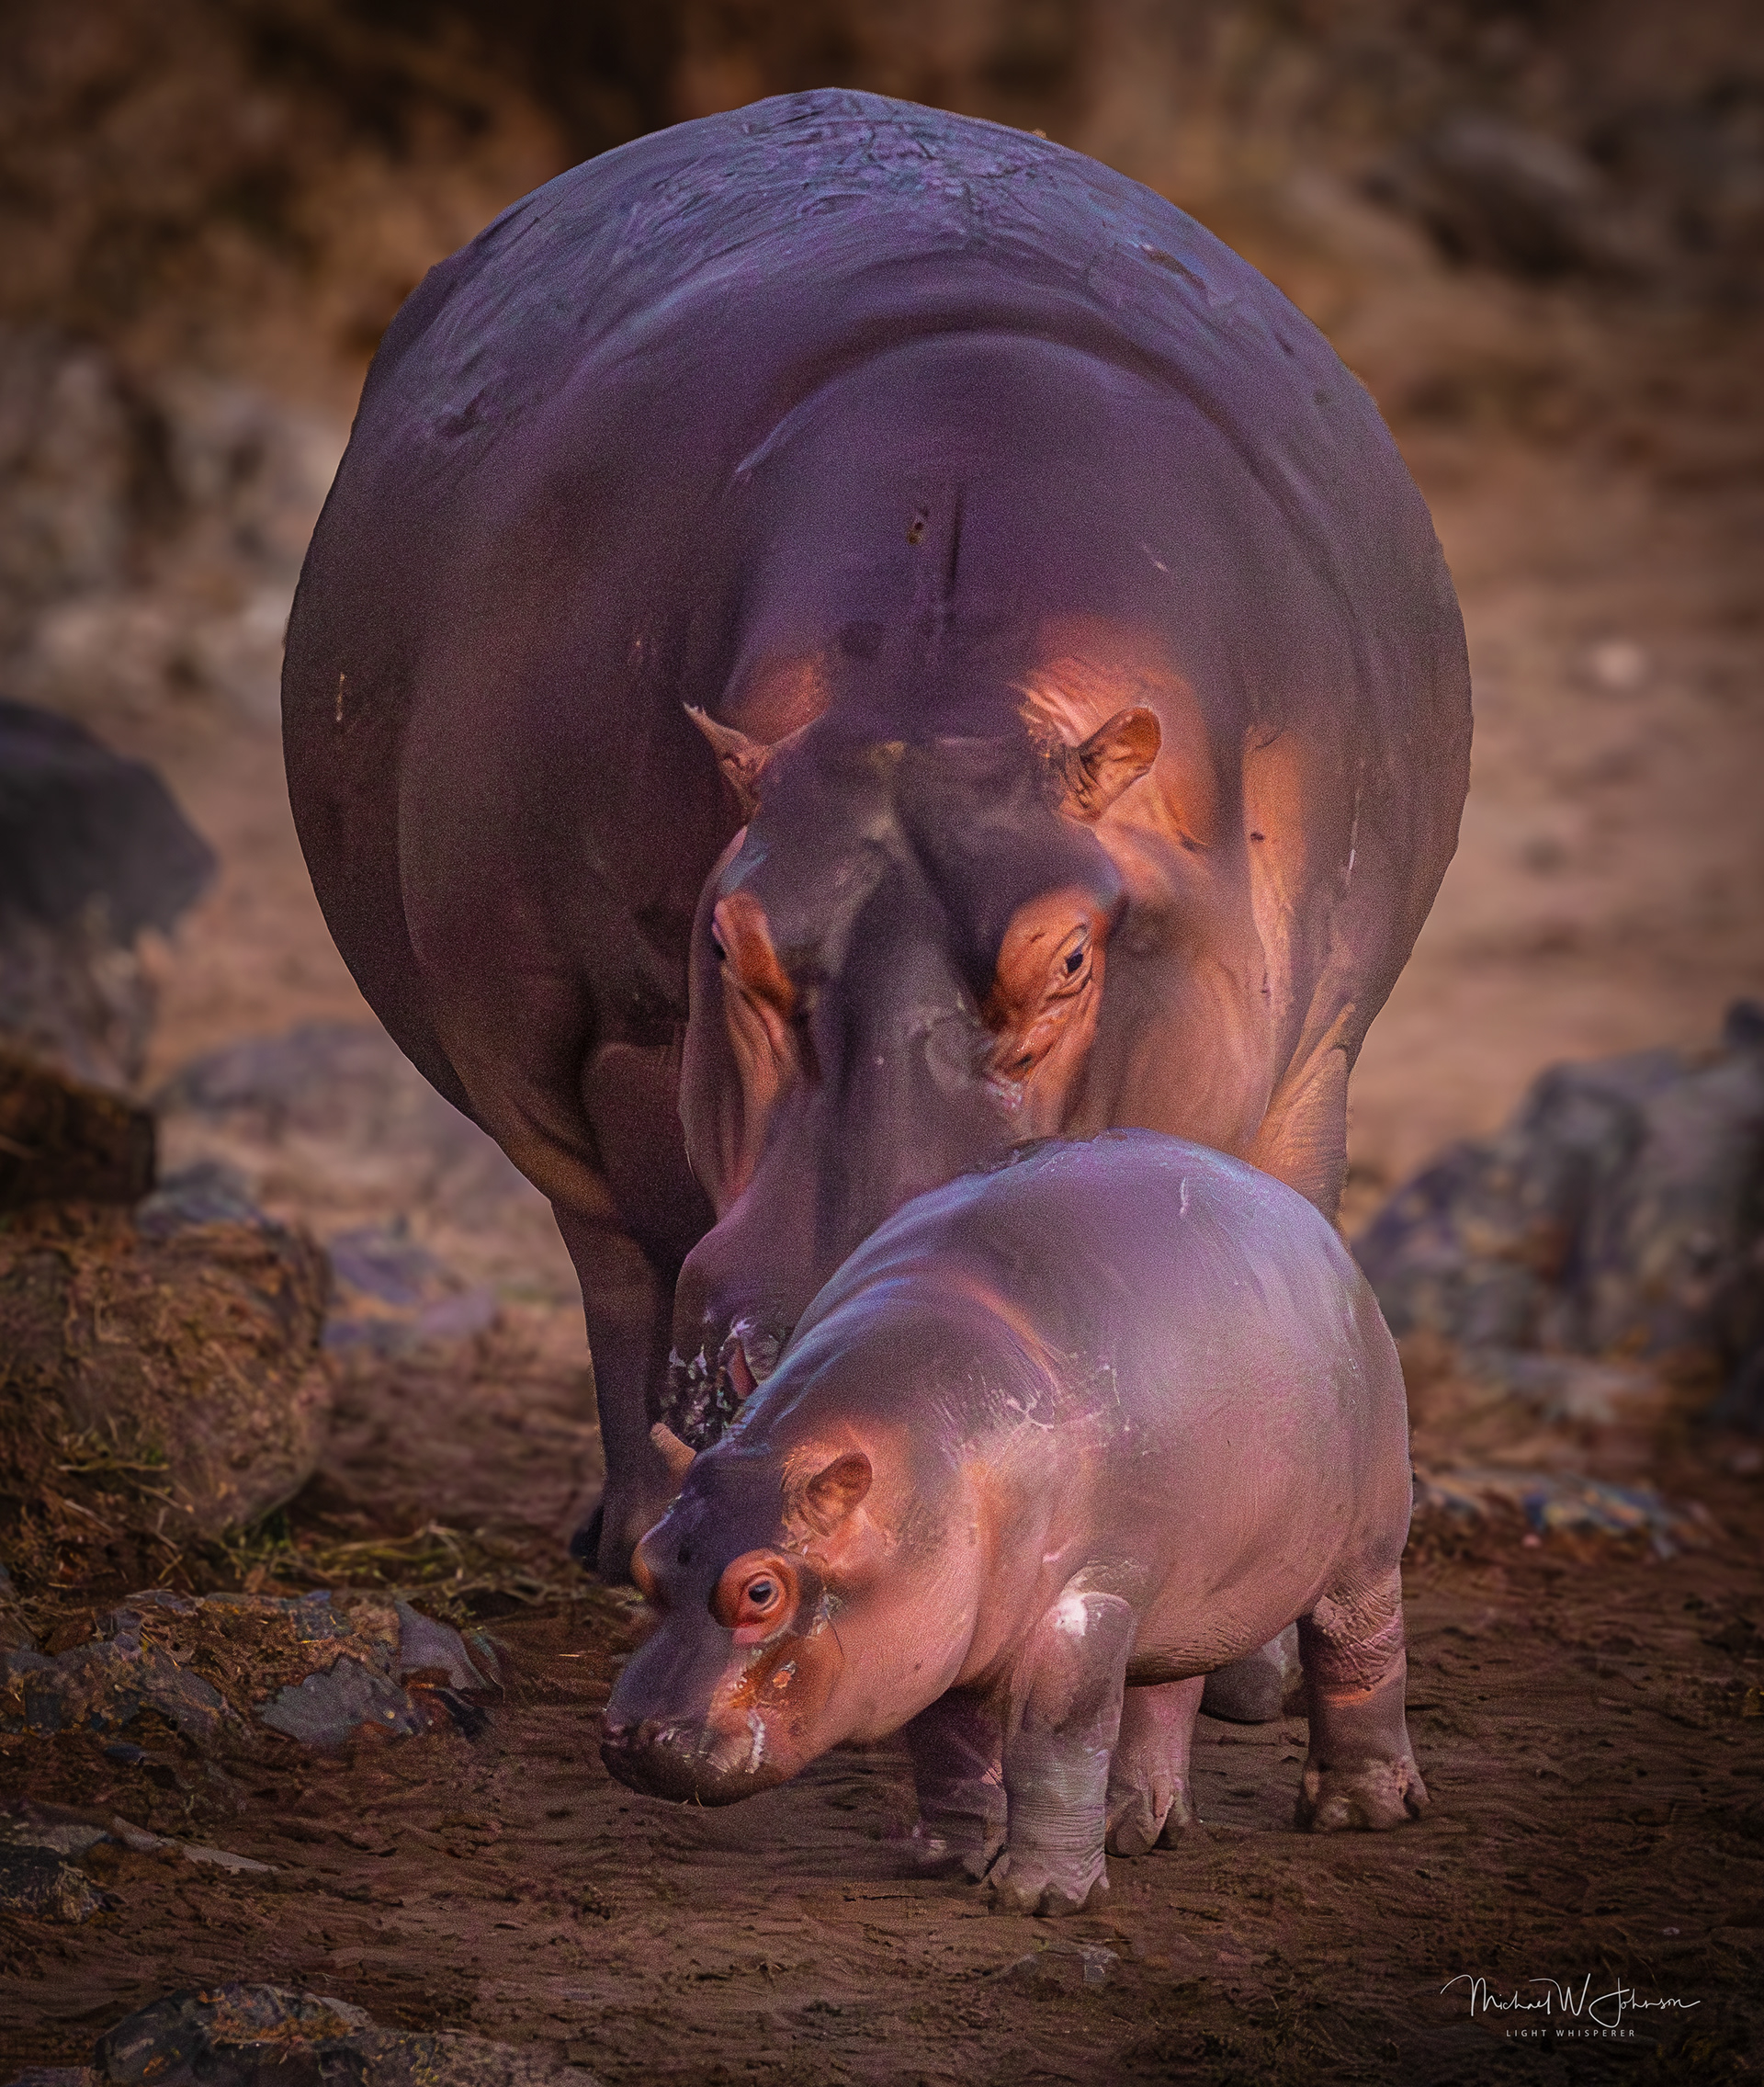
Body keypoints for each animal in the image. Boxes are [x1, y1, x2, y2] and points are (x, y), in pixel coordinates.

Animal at [282, 90, 1471, 1589]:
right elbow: (654, 1258)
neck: (939, 682)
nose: (825, 1335)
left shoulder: (1299, 1058)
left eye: (1070, 959)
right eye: (726, 939)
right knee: (613, 1271)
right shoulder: (627, 1034)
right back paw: (622, 1534)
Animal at [601, 1130, 1428, 1914]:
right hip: (1182, 1588)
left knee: (1359, 1655)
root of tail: (1309, 1220)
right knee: (1164, 1691)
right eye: (645, 1560)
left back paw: (1359, 1811)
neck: (933, 1453)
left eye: (761, 1590)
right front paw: (953, 1862)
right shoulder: (941, 1622)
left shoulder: (1086, 1600)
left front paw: (1039, 1898)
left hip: (1365, 1549)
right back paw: (1136, 1828)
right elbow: (951, 1743)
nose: (631, 1734)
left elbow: (1054, 1741)